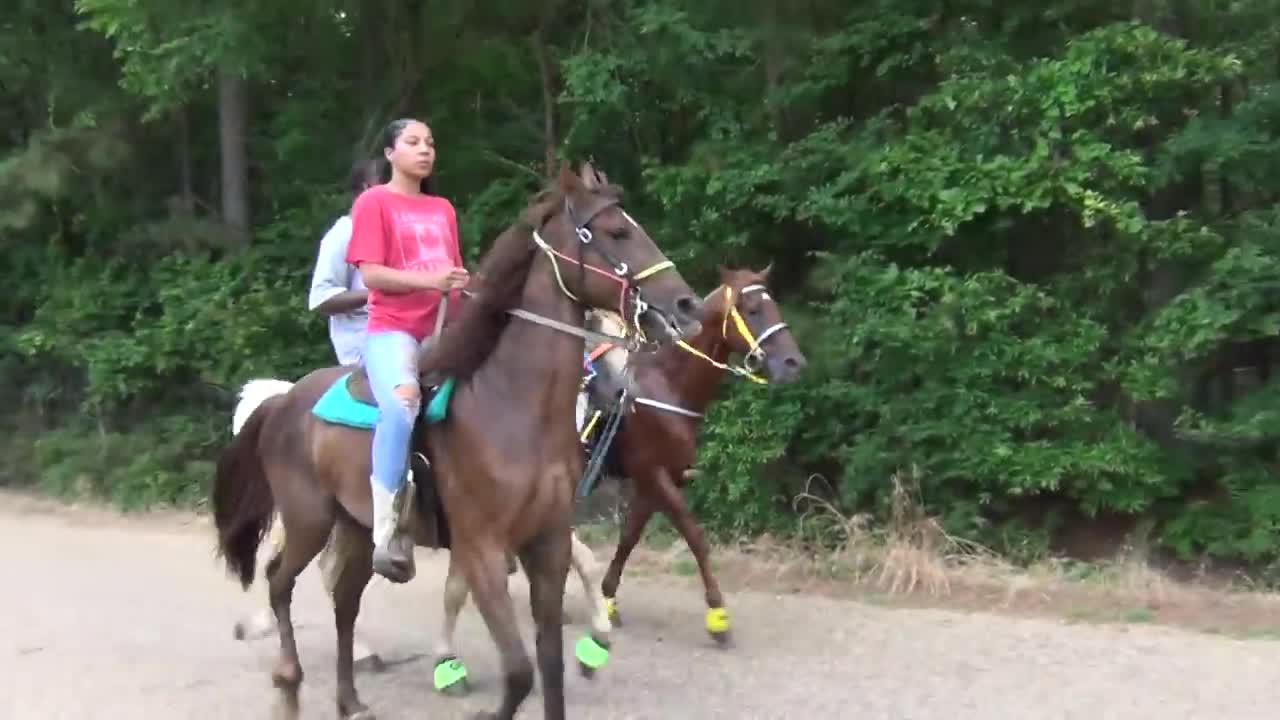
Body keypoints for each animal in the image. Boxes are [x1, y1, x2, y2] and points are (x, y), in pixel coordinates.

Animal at [213, 162, 706, 717]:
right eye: (617, 232)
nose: (687, 304)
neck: (510, 406)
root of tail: (284, 401)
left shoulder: (548, 542)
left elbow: (551, 665)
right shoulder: (481, 551)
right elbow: (519, 671)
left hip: (357, 526)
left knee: (344, 603)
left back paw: (351, 699)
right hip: (308, 520)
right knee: (280, 582)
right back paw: (288, 680)